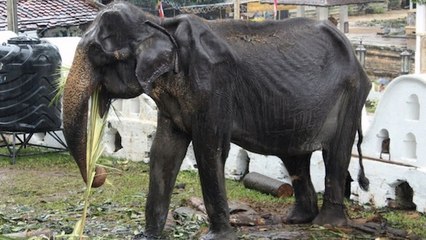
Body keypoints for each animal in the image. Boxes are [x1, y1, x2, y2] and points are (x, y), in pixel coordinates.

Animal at [61, 1, 372, 240]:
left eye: (98, 54)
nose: (100, 174)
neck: (159, 25)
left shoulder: (213, 84)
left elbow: (210, 149)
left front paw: (216, 236)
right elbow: (163, 152)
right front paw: (146, 236)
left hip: (350, 95)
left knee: (335, 154)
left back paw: (327, 224)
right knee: (295, 157)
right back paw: (296, 220)